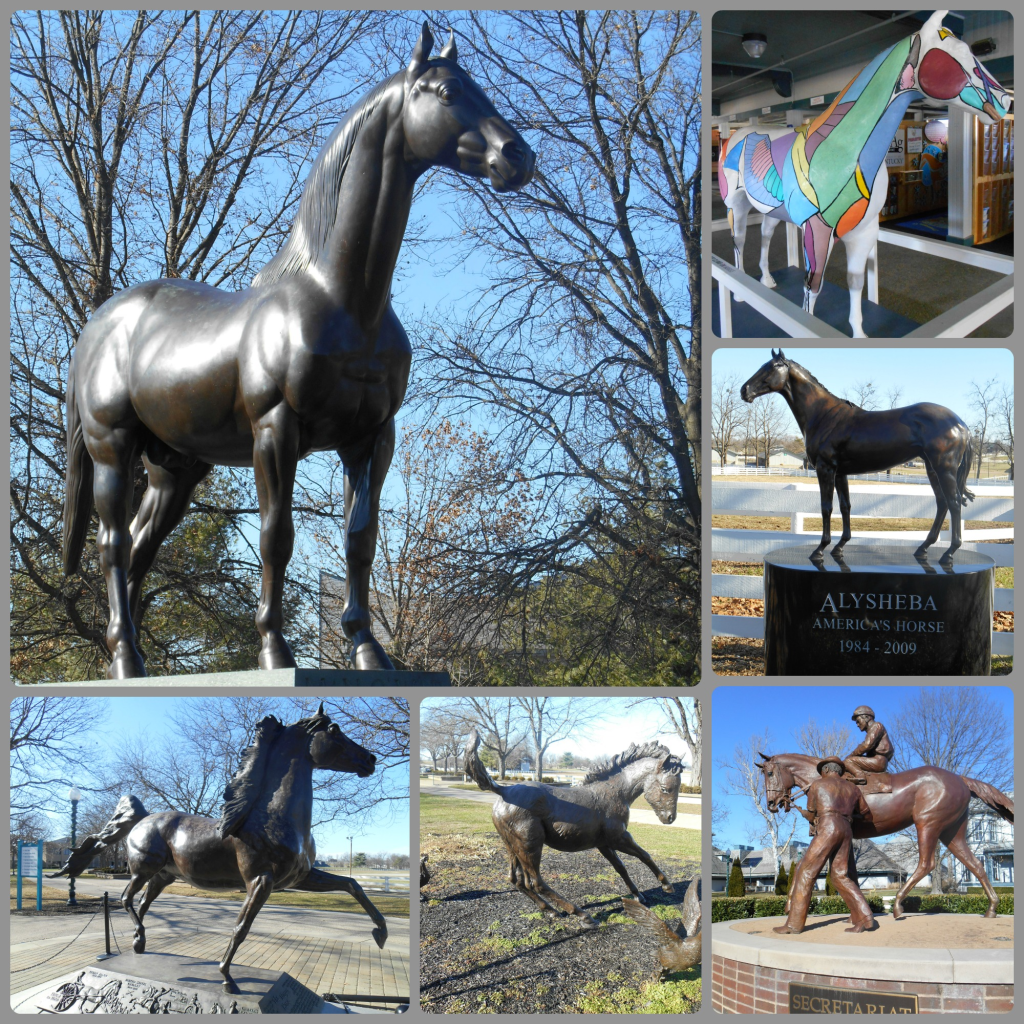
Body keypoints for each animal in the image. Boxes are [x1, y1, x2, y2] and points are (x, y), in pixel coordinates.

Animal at [61, 24, 536, 675]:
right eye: (445, 92)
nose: (517, 157)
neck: (342, 300)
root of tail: (97, 326)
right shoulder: (277, 430)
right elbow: (275, 535)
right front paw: (273, 650)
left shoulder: (371, 439)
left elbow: (360, 540)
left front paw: (367, 649)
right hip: (113, 448)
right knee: (111, 545)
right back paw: (128, 659)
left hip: (174, 470)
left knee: (138, 547)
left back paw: (128, 658)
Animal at [716, 9, 1011, 335]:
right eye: (961, 51)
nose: (1007, 100)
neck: (844, 149)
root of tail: (732, 136)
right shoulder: (816, 229)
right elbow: (812, 286)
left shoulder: (864, 231)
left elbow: (856, 282)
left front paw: (858, 332)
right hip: (736, 205)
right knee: (739, 240)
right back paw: (740, 294)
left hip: (773, 210)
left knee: (766, 236)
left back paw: (767, 280)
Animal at [757, 753, 1011, 921]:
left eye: (770, 773)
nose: (771, 804)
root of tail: (960, 779)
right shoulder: (847, 838)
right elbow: (848, 872)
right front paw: (858, 912)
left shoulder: (826, 834)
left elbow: (802, 865)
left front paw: (790, 905)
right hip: (952, 832)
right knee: (975, 863)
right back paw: (992, 908)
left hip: (927, 824)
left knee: (926, 864)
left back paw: (898, 906)